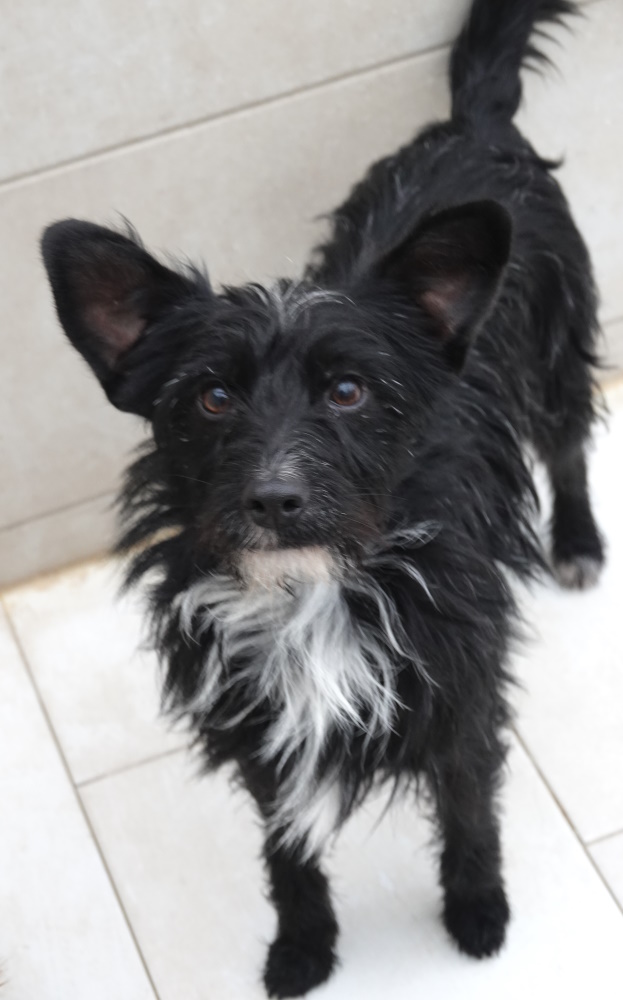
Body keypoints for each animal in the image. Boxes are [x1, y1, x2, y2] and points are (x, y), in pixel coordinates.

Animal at [41, 1, 604, 995]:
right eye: (209, 397)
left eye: (347, 391)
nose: (274, 500)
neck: (314, 588)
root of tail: (473, 125)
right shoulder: (260, 722)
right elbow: (287, 853)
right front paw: (303, 944)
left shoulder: (461, 698)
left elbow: (470, 815)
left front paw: (477, 912)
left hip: (556, 344)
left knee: (569, 440)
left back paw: (575, 539)